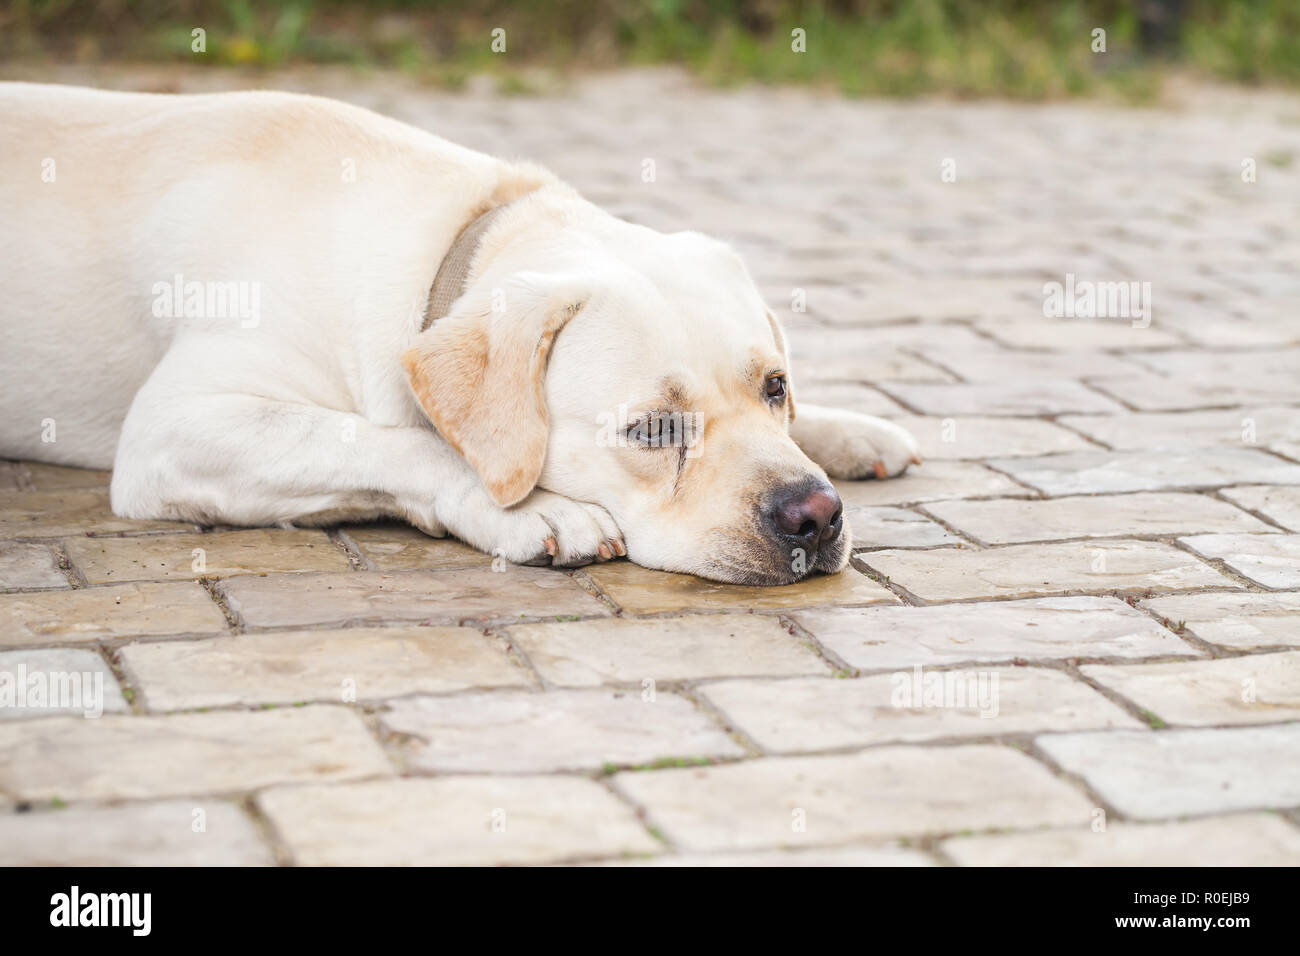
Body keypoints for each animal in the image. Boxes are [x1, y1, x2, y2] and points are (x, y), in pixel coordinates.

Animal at [0, 83, 920, 582]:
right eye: (655, 430)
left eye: (776, 387)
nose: (815, 516)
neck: (457, 238)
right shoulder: (173, 430)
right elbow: (393, 441)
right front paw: (536, 508)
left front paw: (848, 429)